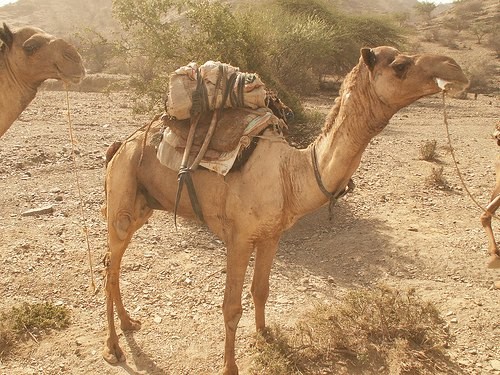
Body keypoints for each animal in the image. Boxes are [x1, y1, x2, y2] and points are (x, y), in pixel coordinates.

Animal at [101, 45, 468, 374]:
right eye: (400, 65)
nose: (455, 68)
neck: (290, 174)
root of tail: (121, 145)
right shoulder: (238, 238)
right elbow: (231, 306)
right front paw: (230, 367)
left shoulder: (272, 235)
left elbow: (261, 290)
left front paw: (266, 337)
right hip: (121, 198)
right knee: (110, 265)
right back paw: (114, 348)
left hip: (143, 207)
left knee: (114, 263)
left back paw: (130, 323)